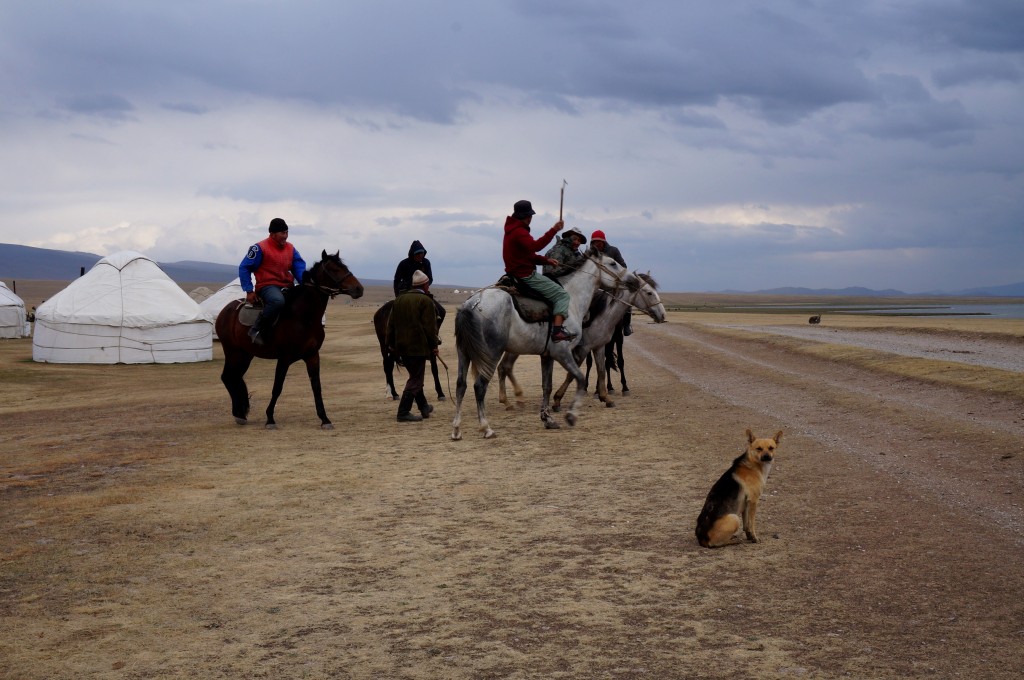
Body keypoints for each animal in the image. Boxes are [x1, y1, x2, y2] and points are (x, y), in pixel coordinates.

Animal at [211, 249, 364, 430]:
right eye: (334, 269)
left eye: (345, 267)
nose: (358, 288)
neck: (304, 317)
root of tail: (225, 311)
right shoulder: (284, 359)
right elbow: (277, 387)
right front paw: (270, 418)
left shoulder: (312, 356)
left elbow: (316, 387)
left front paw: (325, 419)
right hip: (232, 351)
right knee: (227, 377)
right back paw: (239, 414)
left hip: (245, 354)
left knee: (234, 377)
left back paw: (240, 413)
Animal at [450, 250, 634, 440]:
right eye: (612, 263)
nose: (633, 281)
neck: (572, 299)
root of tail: (472, 304)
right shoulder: (563, 352)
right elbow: (580, 378)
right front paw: (570, 415)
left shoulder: (547, 355)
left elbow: (547, 386)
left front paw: (548, 419)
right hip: (492, 354)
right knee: (480, 386)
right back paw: (486, 427)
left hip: (464, 353)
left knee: (461, 385)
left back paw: (456, 429)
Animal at [497, 270, 671, 409]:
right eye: (649, 292)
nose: (662, 314)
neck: (602, 315)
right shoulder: (583, 348)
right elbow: (573, 373)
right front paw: (557, 400)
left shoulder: (599, 346)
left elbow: (602, 369)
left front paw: (605, 397)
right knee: (504, 367)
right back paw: (511, 399)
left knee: (504, 367)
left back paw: (513, 399)